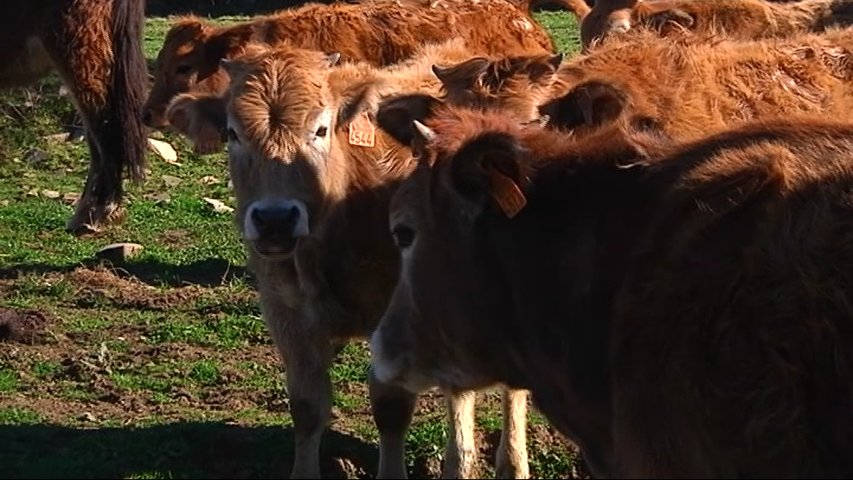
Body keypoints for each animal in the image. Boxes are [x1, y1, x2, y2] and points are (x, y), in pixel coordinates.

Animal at [162, 41, 528, 480]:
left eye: (320, 130)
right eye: (233, 134)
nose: (275, 219)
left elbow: (390, 408)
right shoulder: (286, 315)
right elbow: (307, 407)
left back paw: (511, 462)